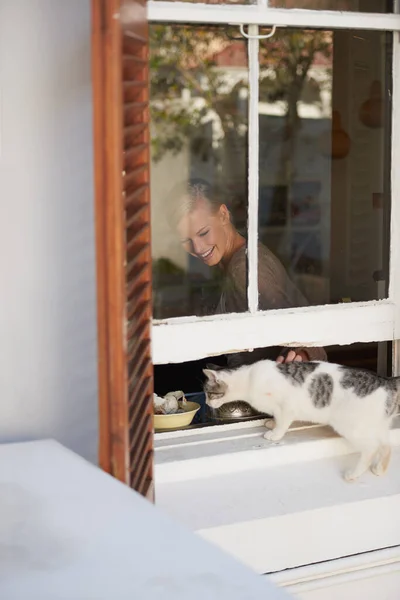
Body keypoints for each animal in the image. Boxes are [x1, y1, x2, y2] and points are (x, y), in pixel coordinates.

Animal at [205, 358, 398, 480]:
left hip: (350, 425)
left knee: (371, 448)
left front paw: (275, 434)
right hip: (377, 425)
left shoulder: (286, 406)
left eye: (209, 393)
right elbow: (276, 417)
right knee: (386, 446)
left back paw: (353, 474)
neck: (249, 378)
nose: (206, 402)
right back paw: (380, 469)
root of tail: (387, 382)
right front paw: (271, 423)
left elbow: (283, 421)